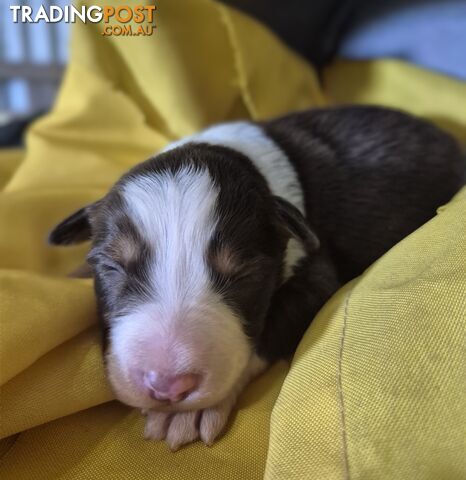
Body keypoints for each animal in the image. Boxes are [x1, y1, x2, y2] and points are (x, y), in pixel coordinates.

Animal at [49, 106, 464, 450]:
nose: (168, 388)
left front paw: (190, 413)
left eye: (244, 275)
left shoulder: (316, 272)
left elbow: (268, 332)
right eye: (111, 268)